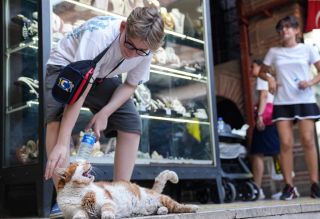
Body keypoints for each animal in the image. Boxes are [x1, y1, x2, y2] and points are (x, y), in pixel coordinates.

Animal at [55, 162, 199, 218]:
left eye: (85, 162)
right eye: (79, 164)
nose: (89, 163)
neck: (79, 192)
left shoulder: (106, 201)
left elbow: (107, 209)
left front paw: (107, 216)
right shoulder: (73, 211)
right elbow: (79, 213)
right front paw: (80, 217)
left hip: (164, 199)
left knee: (178, 206)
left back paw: (193, 207)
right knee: (164, 208)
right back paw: (162, 211)